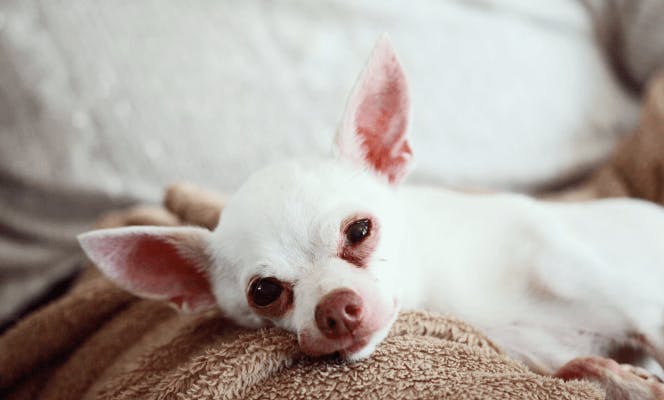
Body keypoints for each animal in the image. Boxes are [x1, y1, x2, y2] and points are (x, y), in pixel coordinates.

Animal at [78, 36, 664, 382]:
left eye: (360, 231)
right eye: (264, 292)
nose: (335, 309)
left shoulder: (638, 309)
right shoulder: (547, 356)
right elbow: (593, 369)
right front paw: (623, 378)